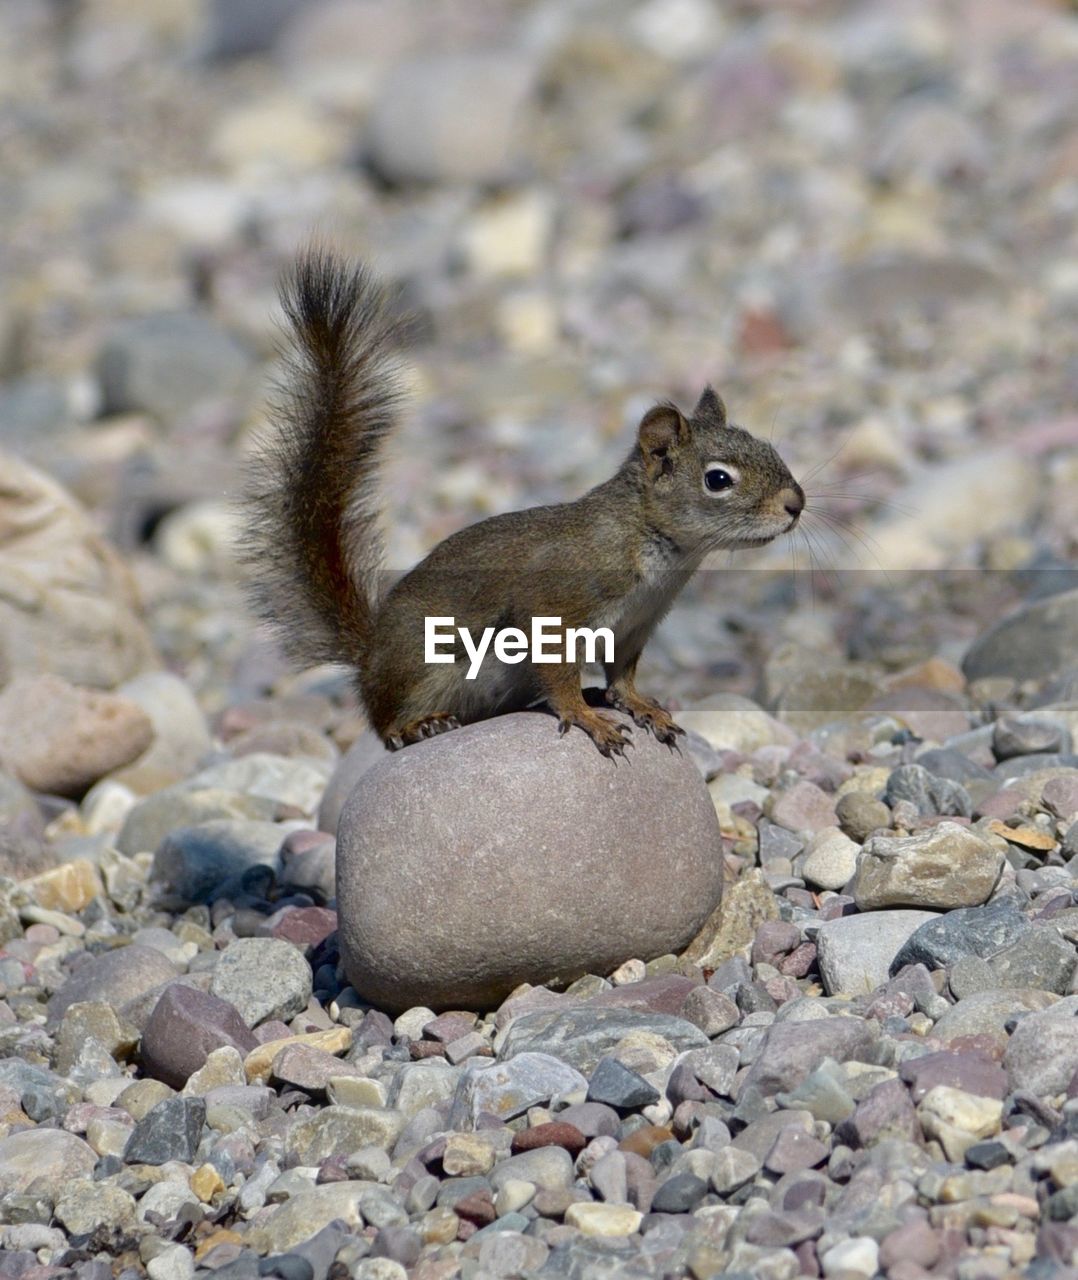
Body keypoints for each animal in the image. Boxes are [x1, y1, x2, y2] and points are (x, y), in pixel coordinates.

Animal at [241, 244, 798, 752]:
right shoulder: (555, 606)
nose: (796, 505)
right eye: (718, 479)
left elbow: (623, 675)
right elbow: (559, 674)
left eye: (769, 448)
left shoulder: (635, 625)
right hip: (419, 665)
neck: (656, 546)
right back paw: (417, 726)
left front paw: (642, 706)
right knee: (383, 721)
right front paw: (586, 716)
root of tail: (369, 654)